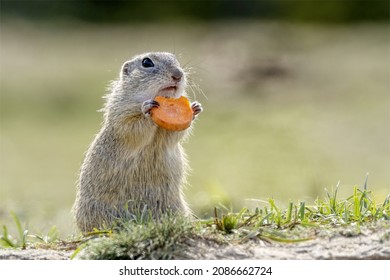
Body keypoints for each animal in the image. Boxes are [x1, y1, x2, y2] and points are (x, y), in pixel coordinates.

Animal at [71, 52, 203, 232]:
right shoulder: (121, 114)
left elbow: (174, 135)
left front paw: (195, 108)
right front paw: (146, 109)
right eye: (147, 62)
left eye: (175, 59)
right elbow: (132, 127)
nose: (178, 75)